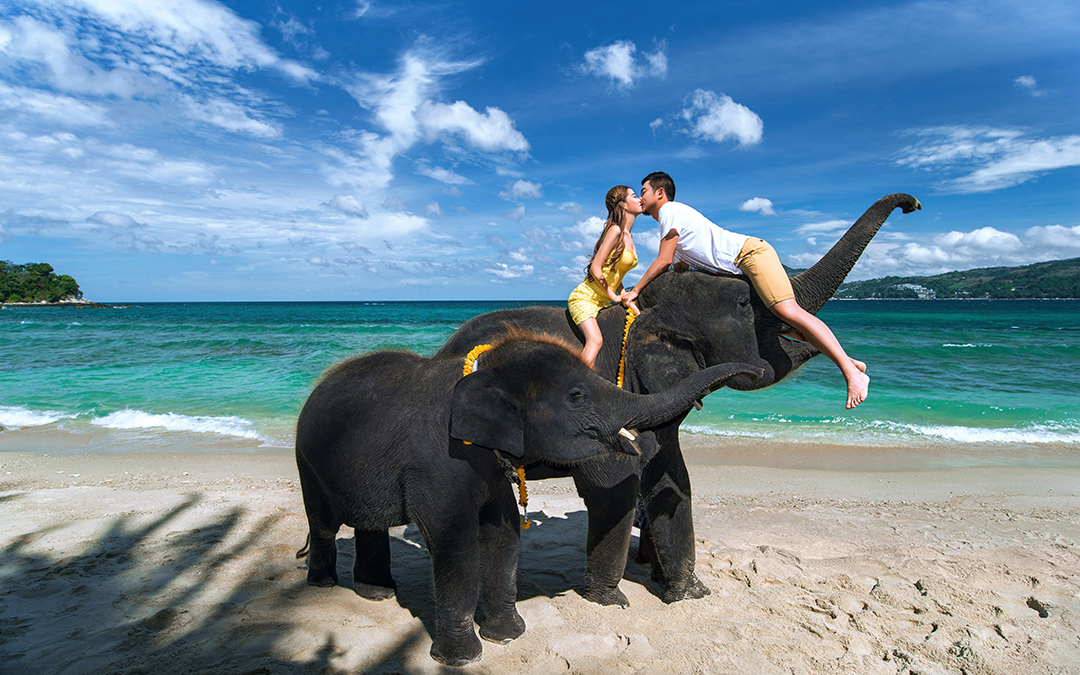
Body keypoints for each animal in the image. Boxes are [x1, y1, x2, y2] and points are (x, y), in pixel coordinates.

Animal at [291, 326, 756, 665]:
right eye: (576, 396)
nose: (751, 373)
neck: (482, 371)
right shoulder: (436, 462)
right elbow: (455, 544)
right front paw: (463, 658)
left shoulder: (489, 467)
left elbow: (505, 534)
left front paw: (509, 637)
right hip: (307, 462)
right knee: (325, 524)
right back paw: (324, 586)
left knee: (369, 524)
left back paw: (377, 594)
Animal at [434, 192, 924, 604]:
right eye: (745, 305)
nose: (913, 205)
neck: (647, 311)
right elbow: (616, 478)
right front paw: (610, 599)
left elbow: (671, 476)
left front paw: (690, 594)